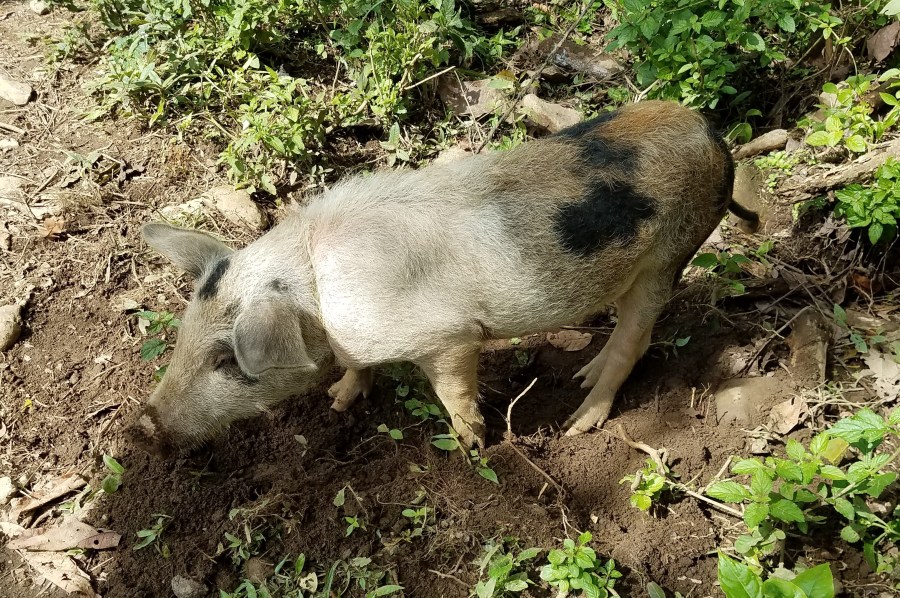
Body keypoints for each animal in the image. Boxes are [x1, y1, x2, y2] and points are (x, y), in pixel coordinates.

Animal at [129, 100, 758, 456]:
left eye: (227, 359)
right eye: (183, 336)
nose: (145, 424)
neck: (319, 299)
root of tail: (713, 136)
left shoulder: (450, 336)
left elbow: (455, 392)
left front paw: (470, 446)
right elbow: (359, 369)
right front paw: (338, 402)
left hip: (670, 251)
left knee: (637, 337)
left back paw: (579, 422)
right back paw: (581, 376)